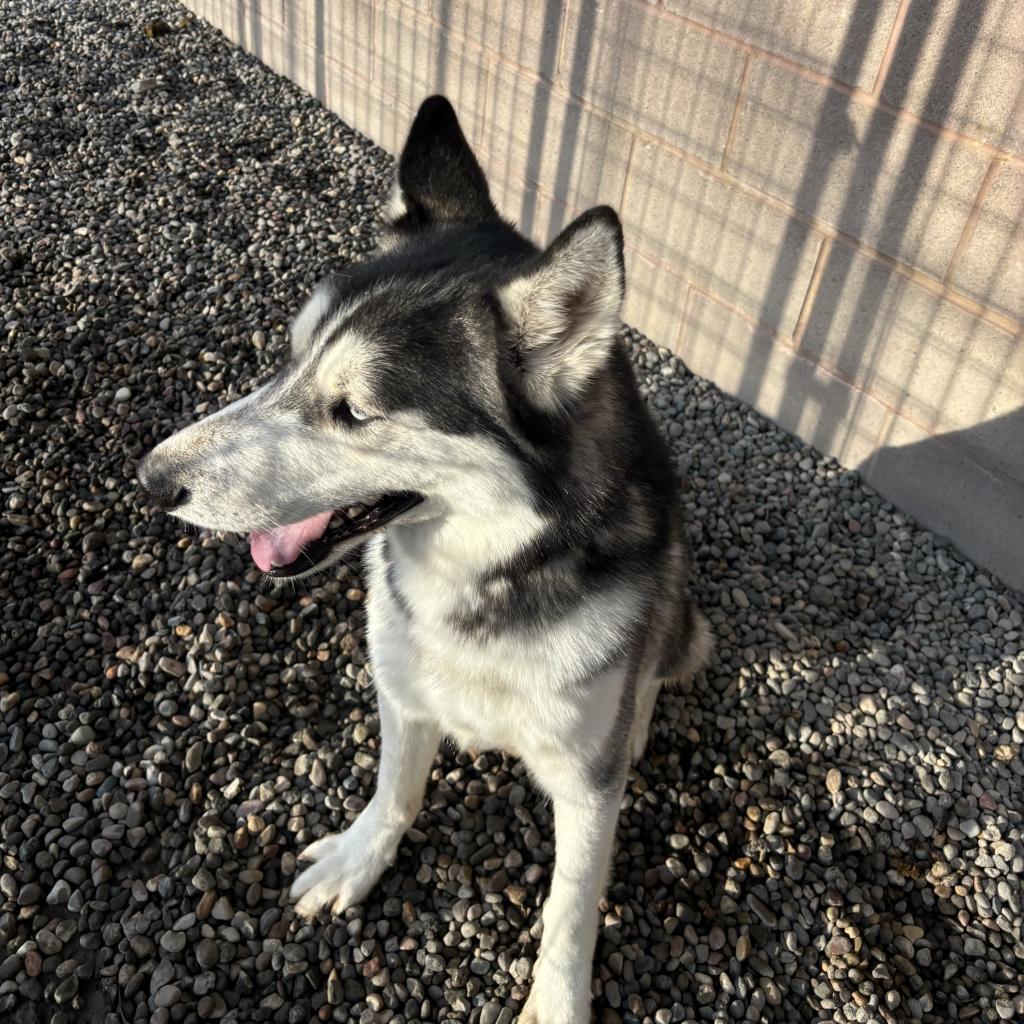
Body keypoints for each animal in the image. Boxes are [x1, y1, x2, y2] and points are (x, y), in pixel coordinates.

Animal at [138, 97, 712, 1024]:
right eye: (289, 357)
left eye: (354, 411)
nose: (152, 479)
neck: (480, 577)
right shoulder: (403, 685)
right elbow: (395, 789)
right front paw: (362, 857)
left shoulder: (586, 788)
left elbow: (572, 904)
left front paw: (556, 997)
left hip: (686, 616)